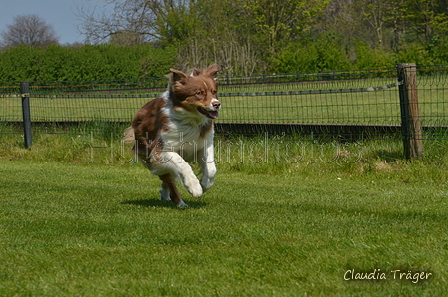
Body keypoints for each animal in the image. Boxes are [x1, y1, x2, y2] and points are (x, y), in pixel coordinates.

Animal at [123, 63, 221, 206]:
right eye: (199, 93)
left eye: (214, 92)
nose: (217, 104)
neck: (191, 121)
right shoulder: (160, 150)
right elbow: (183, 164)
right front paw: (195, 187)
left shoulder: (204, 144)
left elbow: (211, 168)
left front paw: (204, 184)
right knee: (169, 179)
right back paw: (180, 202)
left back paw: (165, 194)